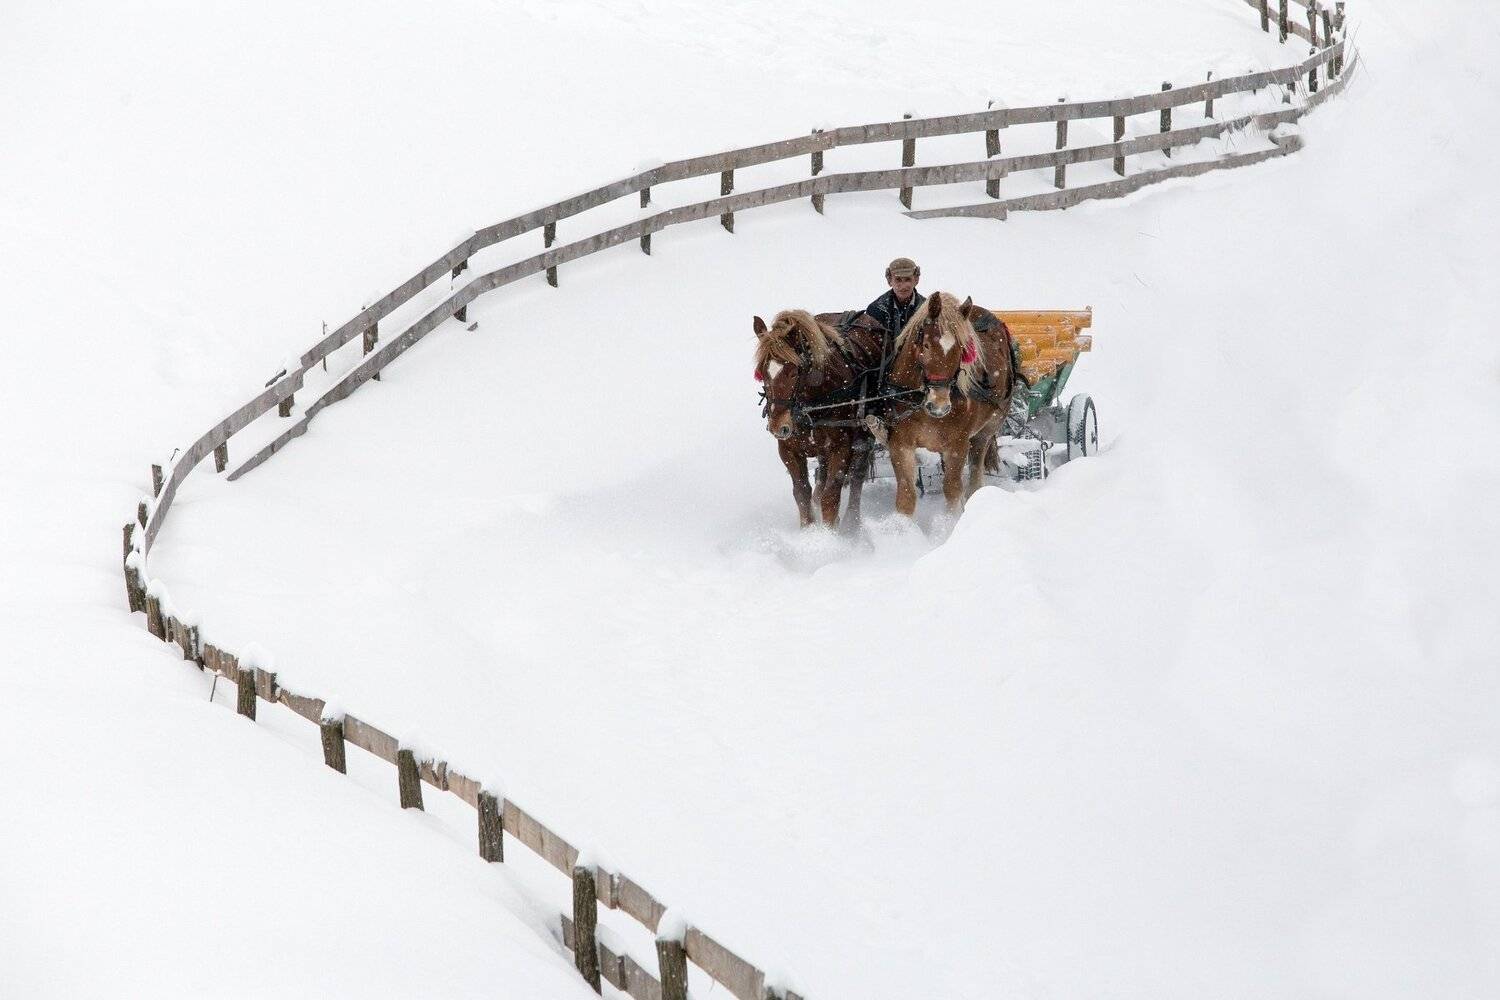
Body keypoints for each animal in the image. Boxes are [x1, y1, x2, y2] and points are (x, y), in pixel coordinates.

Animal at [753, 309, 885, 528]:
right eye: (762, 371)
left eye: (794, 372)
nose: (778, 427)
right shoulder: (788, 449)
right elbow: (801, 492)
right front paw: (808, 529)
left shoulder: (841, 446)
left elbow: (831, 495)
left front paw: (828, 533)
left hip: (865, 430)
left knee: (858, 473)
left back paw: (852, 522)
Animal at [885, 292, 1015, 517]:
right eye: (926, 345)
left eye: (960, 349)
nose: (939, 405)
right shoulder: (900, 445)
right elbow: (906, 496)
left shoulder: (957, 445)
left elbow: (952, 490)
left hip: (986, 429)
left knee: (975, 474)